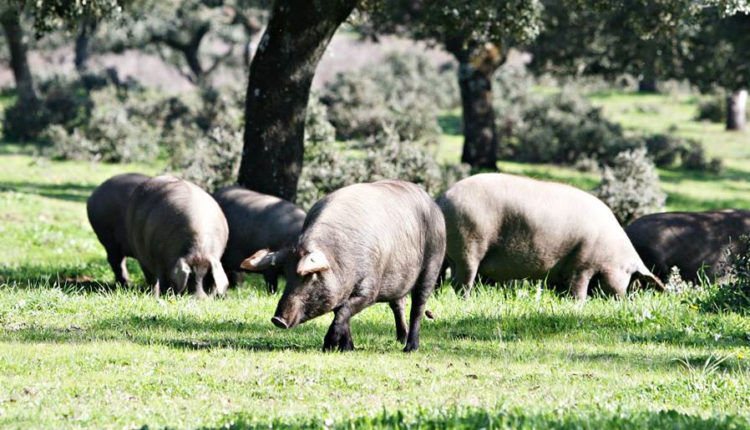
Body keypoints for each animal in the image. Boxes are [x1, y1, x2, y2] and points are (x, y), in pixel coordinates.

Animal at [240, 180, 446, 352]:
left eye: (310, 277)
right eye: (287, 275)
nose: (277, 320)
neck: (339, 258)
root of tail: (431, 201)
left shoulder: (369, 289)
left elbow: (343, 313)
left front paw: (328, 347)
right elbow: (341, 312)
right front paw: (346, 348)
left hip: (433, 260)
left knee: (418, 306)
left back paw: (410, 348)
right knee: (398, 304)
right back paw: (400, 339)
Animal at [438, 173, 664, 300]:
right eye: (630, 277)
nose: (629, 299)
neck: (613, 254)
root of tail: (442, 199)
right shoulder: (583, 263)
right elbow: (578, 287)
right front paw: (578, 303)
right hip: (468, 247)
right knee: (460, 282)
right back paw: (467, 300)